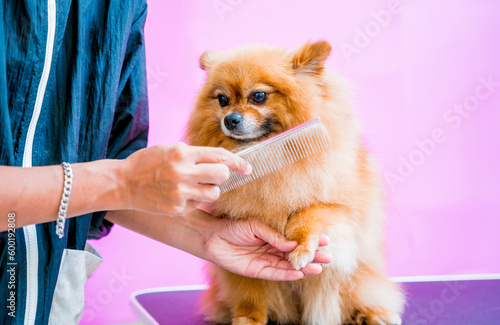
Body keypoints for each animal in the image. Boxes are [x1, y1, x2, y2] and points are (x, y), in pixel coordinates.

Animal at [186, 40, 404, 324]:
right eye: (222, 100)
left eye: (259, 96)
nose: (230, 119)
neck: (267, 154)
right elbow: (249, 292)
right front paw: (248, 318)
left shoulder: (343, 209)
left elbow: (308, 213)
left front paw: (300, 246)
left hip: (357, 276)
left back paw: (372, 314)